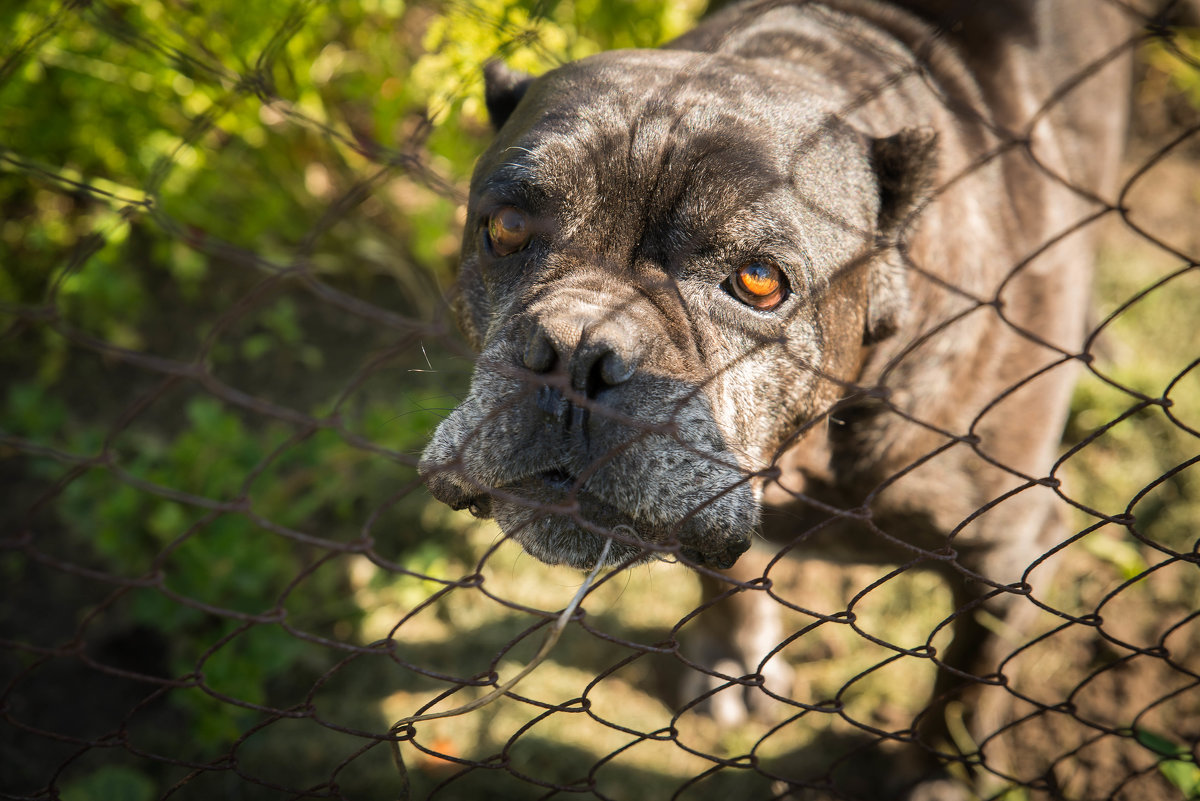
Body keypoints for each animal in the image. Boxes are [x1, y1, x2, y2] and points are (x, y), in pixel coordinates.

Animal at [420, 0, 1132, 786]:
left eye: (759, 280)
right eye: (508, 227)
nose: (578, 354)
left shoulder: (1007, 558)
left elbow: (970, 678)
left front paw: (940, 775)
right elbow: (727, 580)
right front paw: (735, 660)